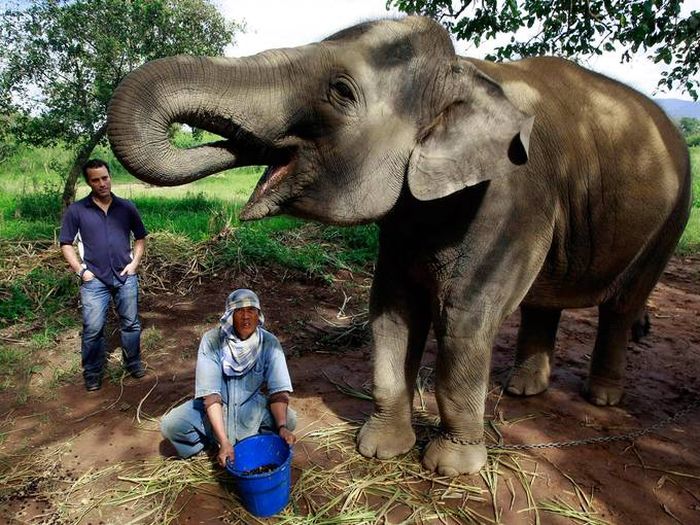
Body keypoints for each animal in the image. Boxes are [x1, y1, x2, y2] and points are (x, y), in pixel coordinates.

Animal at [106, 15, 692, 474]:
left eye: (341, 92)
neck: (468, 74)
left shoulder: (513, 196)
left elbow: (465, 317)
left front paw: (452, 466)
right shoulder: (407, 217)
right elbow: (391, 310)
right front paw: (379, 450)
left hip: (672, 216)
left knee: (623, 304)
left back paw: (602, 397)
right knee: (544, 301)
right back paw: (525, 390)